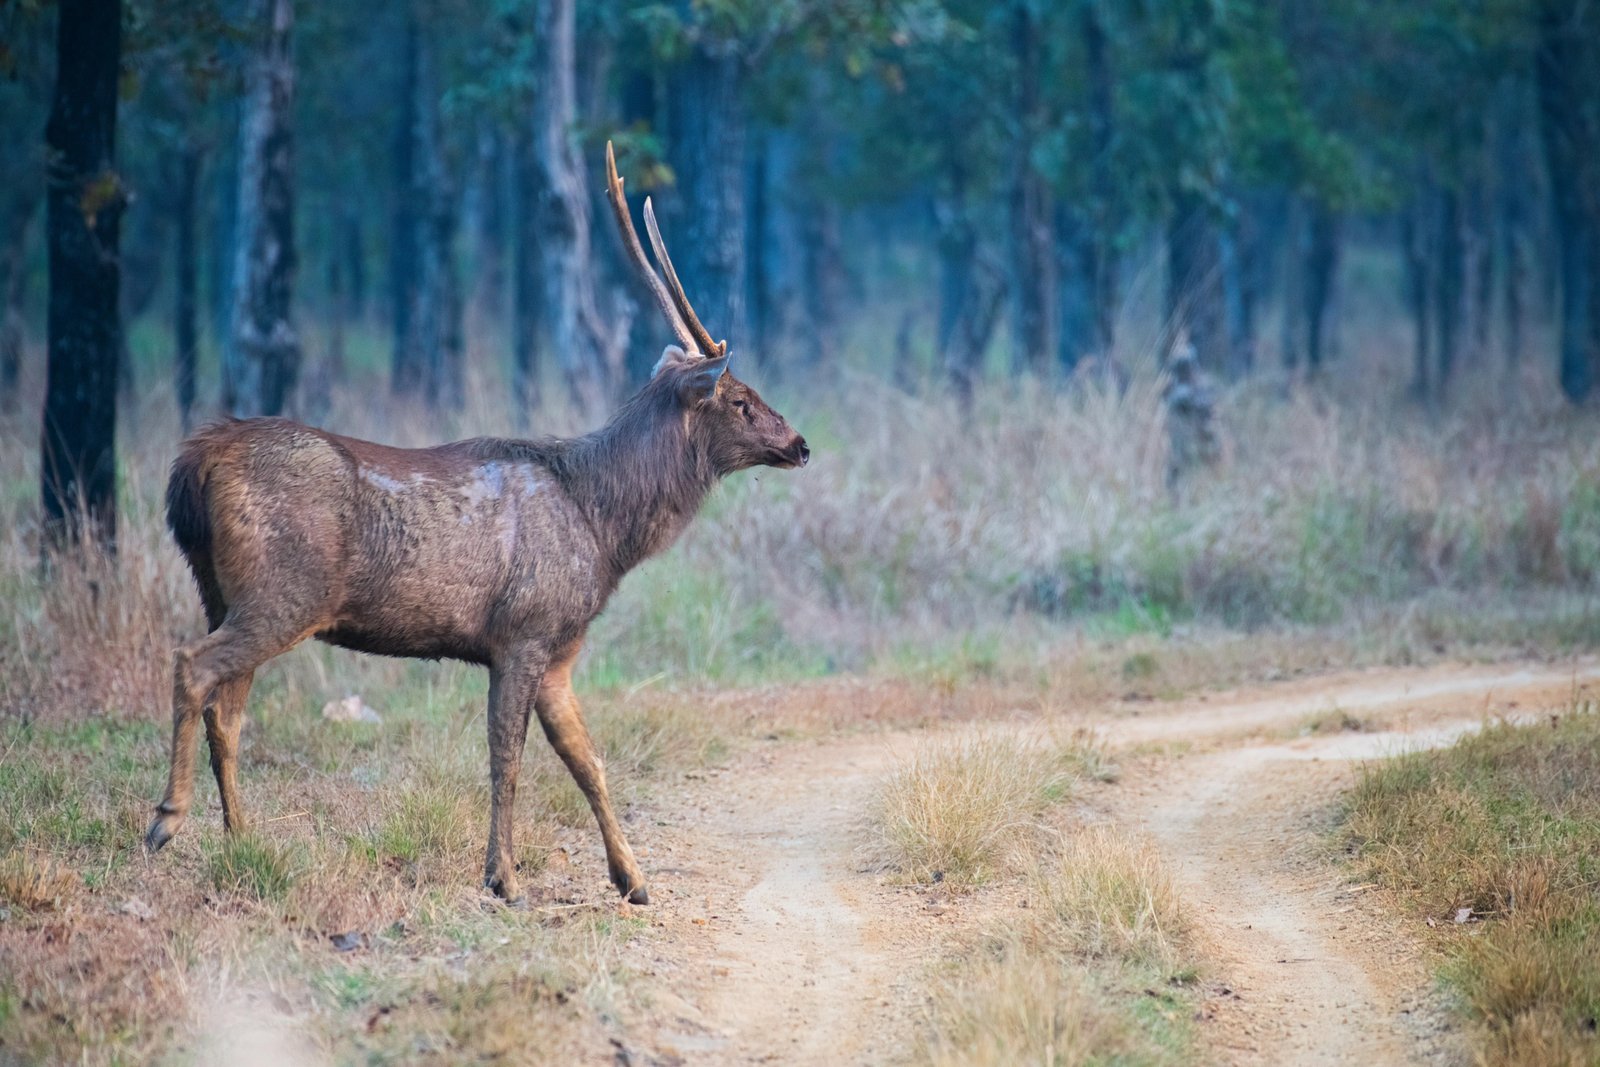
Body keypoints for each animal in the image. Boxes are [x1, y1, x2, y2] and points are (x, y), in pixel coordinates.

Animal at [143, 143, 809, 905]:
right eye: (740, 399)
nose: (800, 444)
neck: (603, 527)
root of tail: (194, 462)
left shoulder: (560, 650)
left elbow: (588, 760)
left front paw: (633, 879)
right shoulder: (523, 628)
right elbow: (507, 757)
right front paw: (504, 877)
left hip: (222, 588)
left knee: (227, 709)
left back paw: (242, 838)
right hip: (282, 588)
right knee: (194, 667)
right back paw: (167, 820)